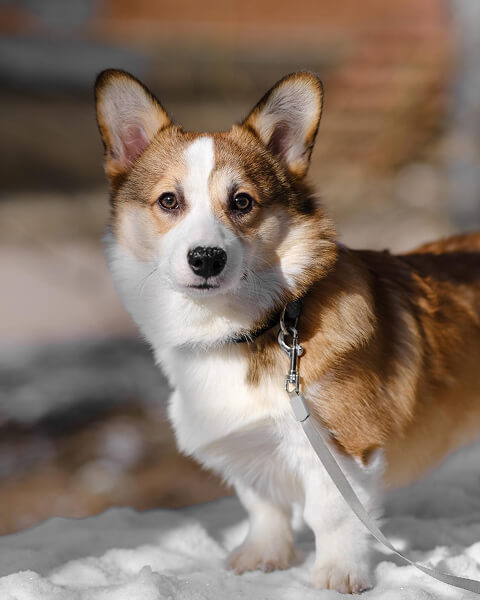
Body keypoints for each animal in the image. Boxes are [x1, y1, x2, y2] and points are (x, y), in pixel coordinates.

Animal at [94, 69, 480, 593]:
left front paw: (339, 575)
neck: (255, 326)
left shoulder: (342, 447)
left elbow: (332, 516)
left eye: (242, 202)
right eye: (168, 200)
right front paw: (264, 558)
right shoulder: (251, 450)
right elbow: (263, 506)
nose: (206, 259)